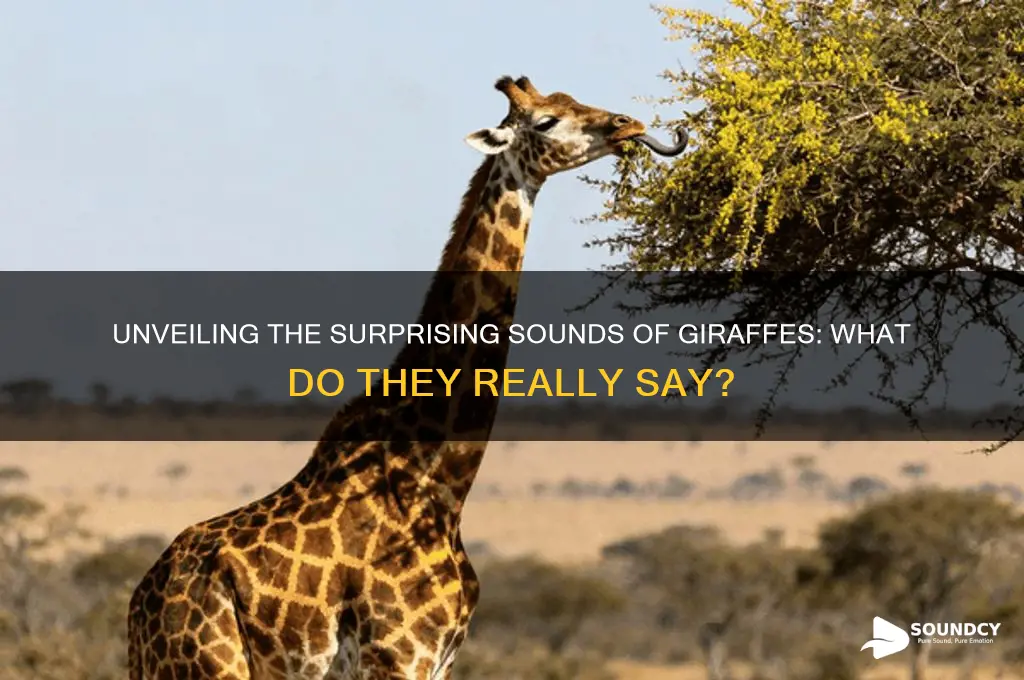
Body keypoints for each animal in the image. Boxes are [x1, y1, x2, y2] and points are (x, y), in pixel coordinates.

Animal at [127, 75, 686, 680]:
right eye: (546, 121)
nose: (628, 125)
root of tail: (138, 610)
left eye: (573, 98)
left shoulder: (440, 660)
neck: (439, 484)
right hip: (211, 665)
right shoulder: (399, 654)